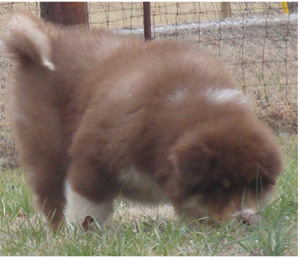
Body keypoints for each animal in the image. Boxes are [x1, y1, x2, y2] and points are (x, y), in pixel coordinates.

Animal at [3, 12, 282, 230]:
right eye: (221, 187)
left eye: (253, 185)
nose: (246, 219)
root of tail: (52, 37)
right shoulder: (94, 156)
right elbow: (86, 207)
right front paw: (80, 238)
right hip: (47, 145)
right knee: (51, 195)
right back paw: (59, 233)